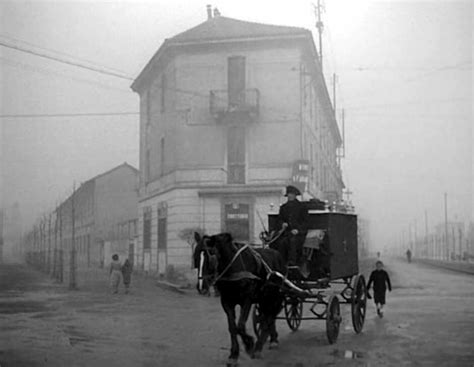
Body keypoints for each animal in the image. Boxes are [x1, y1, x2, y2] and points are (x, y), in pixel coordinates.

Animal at [193, 234, 286, 366]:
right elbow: (232, 328)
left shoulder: (247, 299)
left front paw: (249, 344)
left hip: (274, 295)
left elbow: (240, 326)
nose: (201, 287)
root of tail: (277, 253)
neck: (233, 268)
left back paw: (261, 345)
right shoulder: (226, 302)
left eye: (209, 257)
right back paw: (269, 339)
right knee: (267, 316)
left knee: (270, 316)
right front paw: (233, 355)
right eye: (195, 257)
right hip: (264, 297)